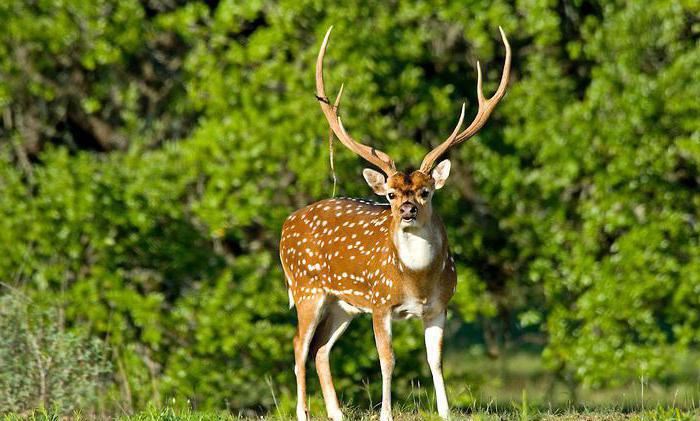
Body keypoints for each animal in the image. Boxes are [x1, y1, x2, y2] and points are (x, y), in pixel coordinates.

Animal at [280, 25, 516, 420]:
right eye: (390, 193)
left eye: (426, 191)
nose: (407, 210)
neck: (416, 282)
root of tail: (285, 225)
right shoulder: (379, 303)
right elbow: (387, 360)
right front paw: (386, 413)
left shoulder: (440, 305)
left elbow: (435, 361)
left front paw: (445, 412)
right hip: (306, 288)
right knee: (300, 344)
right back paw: (303, 413)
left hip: (343, 303)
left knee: (321, 349)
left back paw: (337, 413)